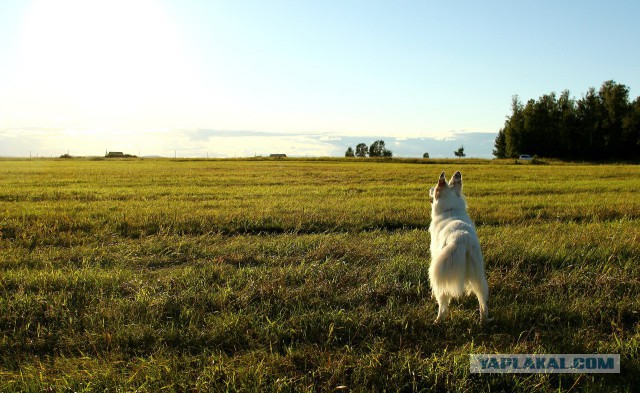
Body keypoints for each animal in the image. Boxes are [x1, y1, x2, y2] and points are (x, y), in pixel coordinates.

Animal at [428, 171, 492, 322]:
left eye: (435, 187)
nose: (430, 189)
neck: (451, 209)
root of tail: (461, 238)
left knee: (443, 304)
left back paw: (438, 320)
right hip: (478, 275)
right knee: (483, 301)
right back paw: (483, 320)